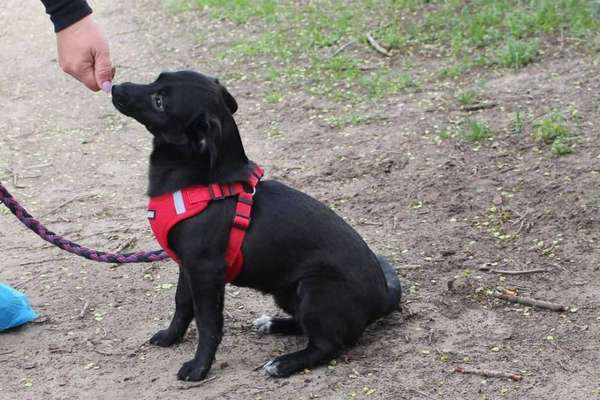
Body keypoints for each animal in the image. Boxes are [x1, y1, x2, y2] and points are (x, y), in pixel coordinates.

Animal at [112, 72, 404, 382]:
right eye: (158, 79)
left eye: (160, 101)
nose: (116, 87)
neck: (201, 184)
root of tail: (383, 297)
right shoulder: (186, 266)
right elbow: (182, 304)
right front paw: (171, 337)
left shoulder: (206, 272)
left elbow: (208, 324)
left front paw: (199, 368)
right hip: (287, 292)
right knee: (306, 328)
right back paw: (273, 324)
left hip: (314, 290)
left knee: (327, 345)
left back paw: (283, 363)